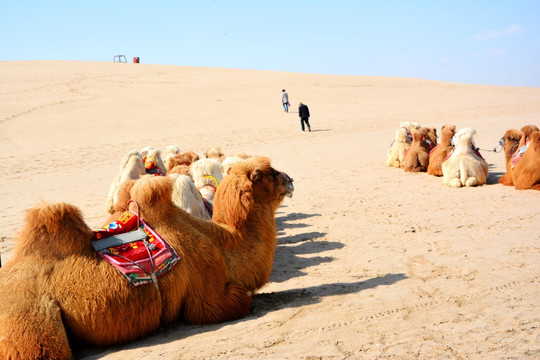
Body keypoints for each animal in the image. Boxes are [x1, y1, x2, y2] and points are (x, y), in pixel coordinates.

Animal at [0, 156, 294, 358]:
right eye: (268, 173)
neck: (221, 240)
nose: (290, 179)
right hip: (29, 322)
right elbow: (239, 299)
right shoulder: (208, 294)